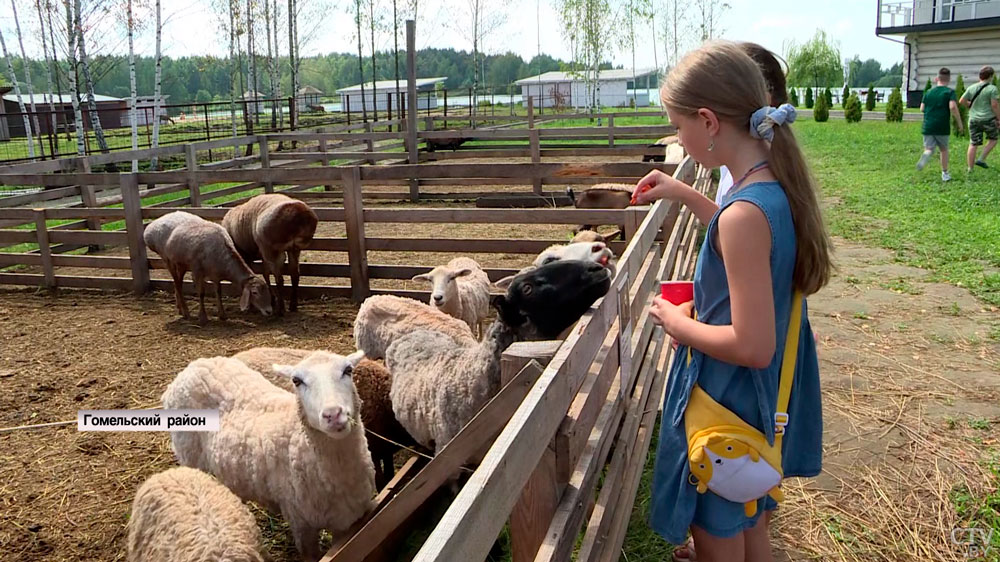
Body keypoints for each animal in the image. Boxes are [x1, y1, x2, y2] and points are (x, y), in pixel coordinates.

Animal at [164, 350, 376, 560]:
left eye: (348, 370)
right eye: (296, 381)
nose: (333, 414)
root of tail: (190, 368)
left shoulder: (345, 524)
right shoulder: (301, 523)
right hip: (190, 457)